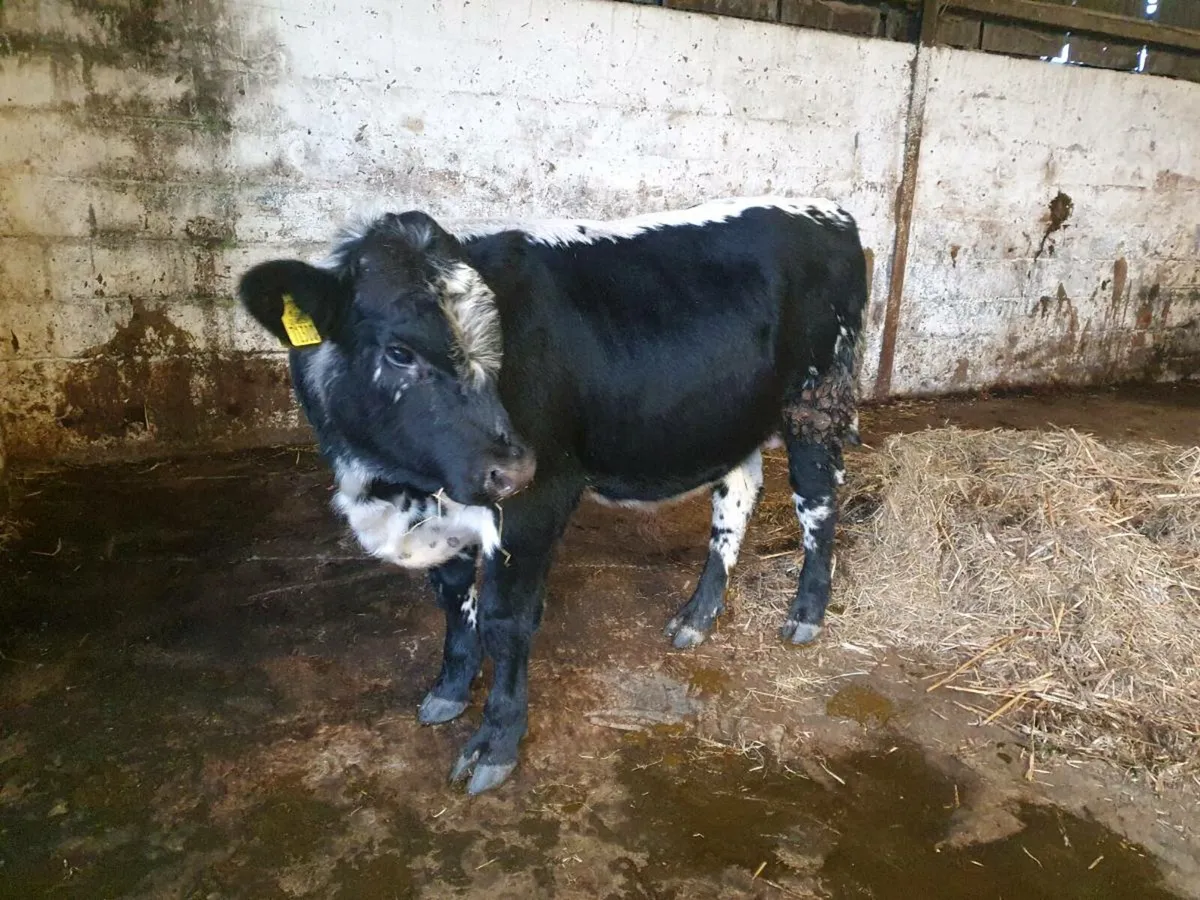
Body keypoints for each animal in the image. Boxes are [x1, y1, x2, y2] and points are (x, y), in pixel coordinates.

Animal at [238, 196, 866, 795]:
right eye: (398, 352)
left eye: (498, 343)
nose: (514, 467)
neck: (393, 488)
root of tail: (829, 211)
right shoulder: (443, 508)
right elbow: (452, 599)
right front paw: (450, 689)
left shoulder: (536, 501)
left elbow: (504, 619)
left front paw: (495, 743)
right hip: (730, 420)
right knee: (735, 497)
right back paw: (697, 615)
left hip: (816, 400)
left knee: (818, 502)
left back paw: (806, 613)